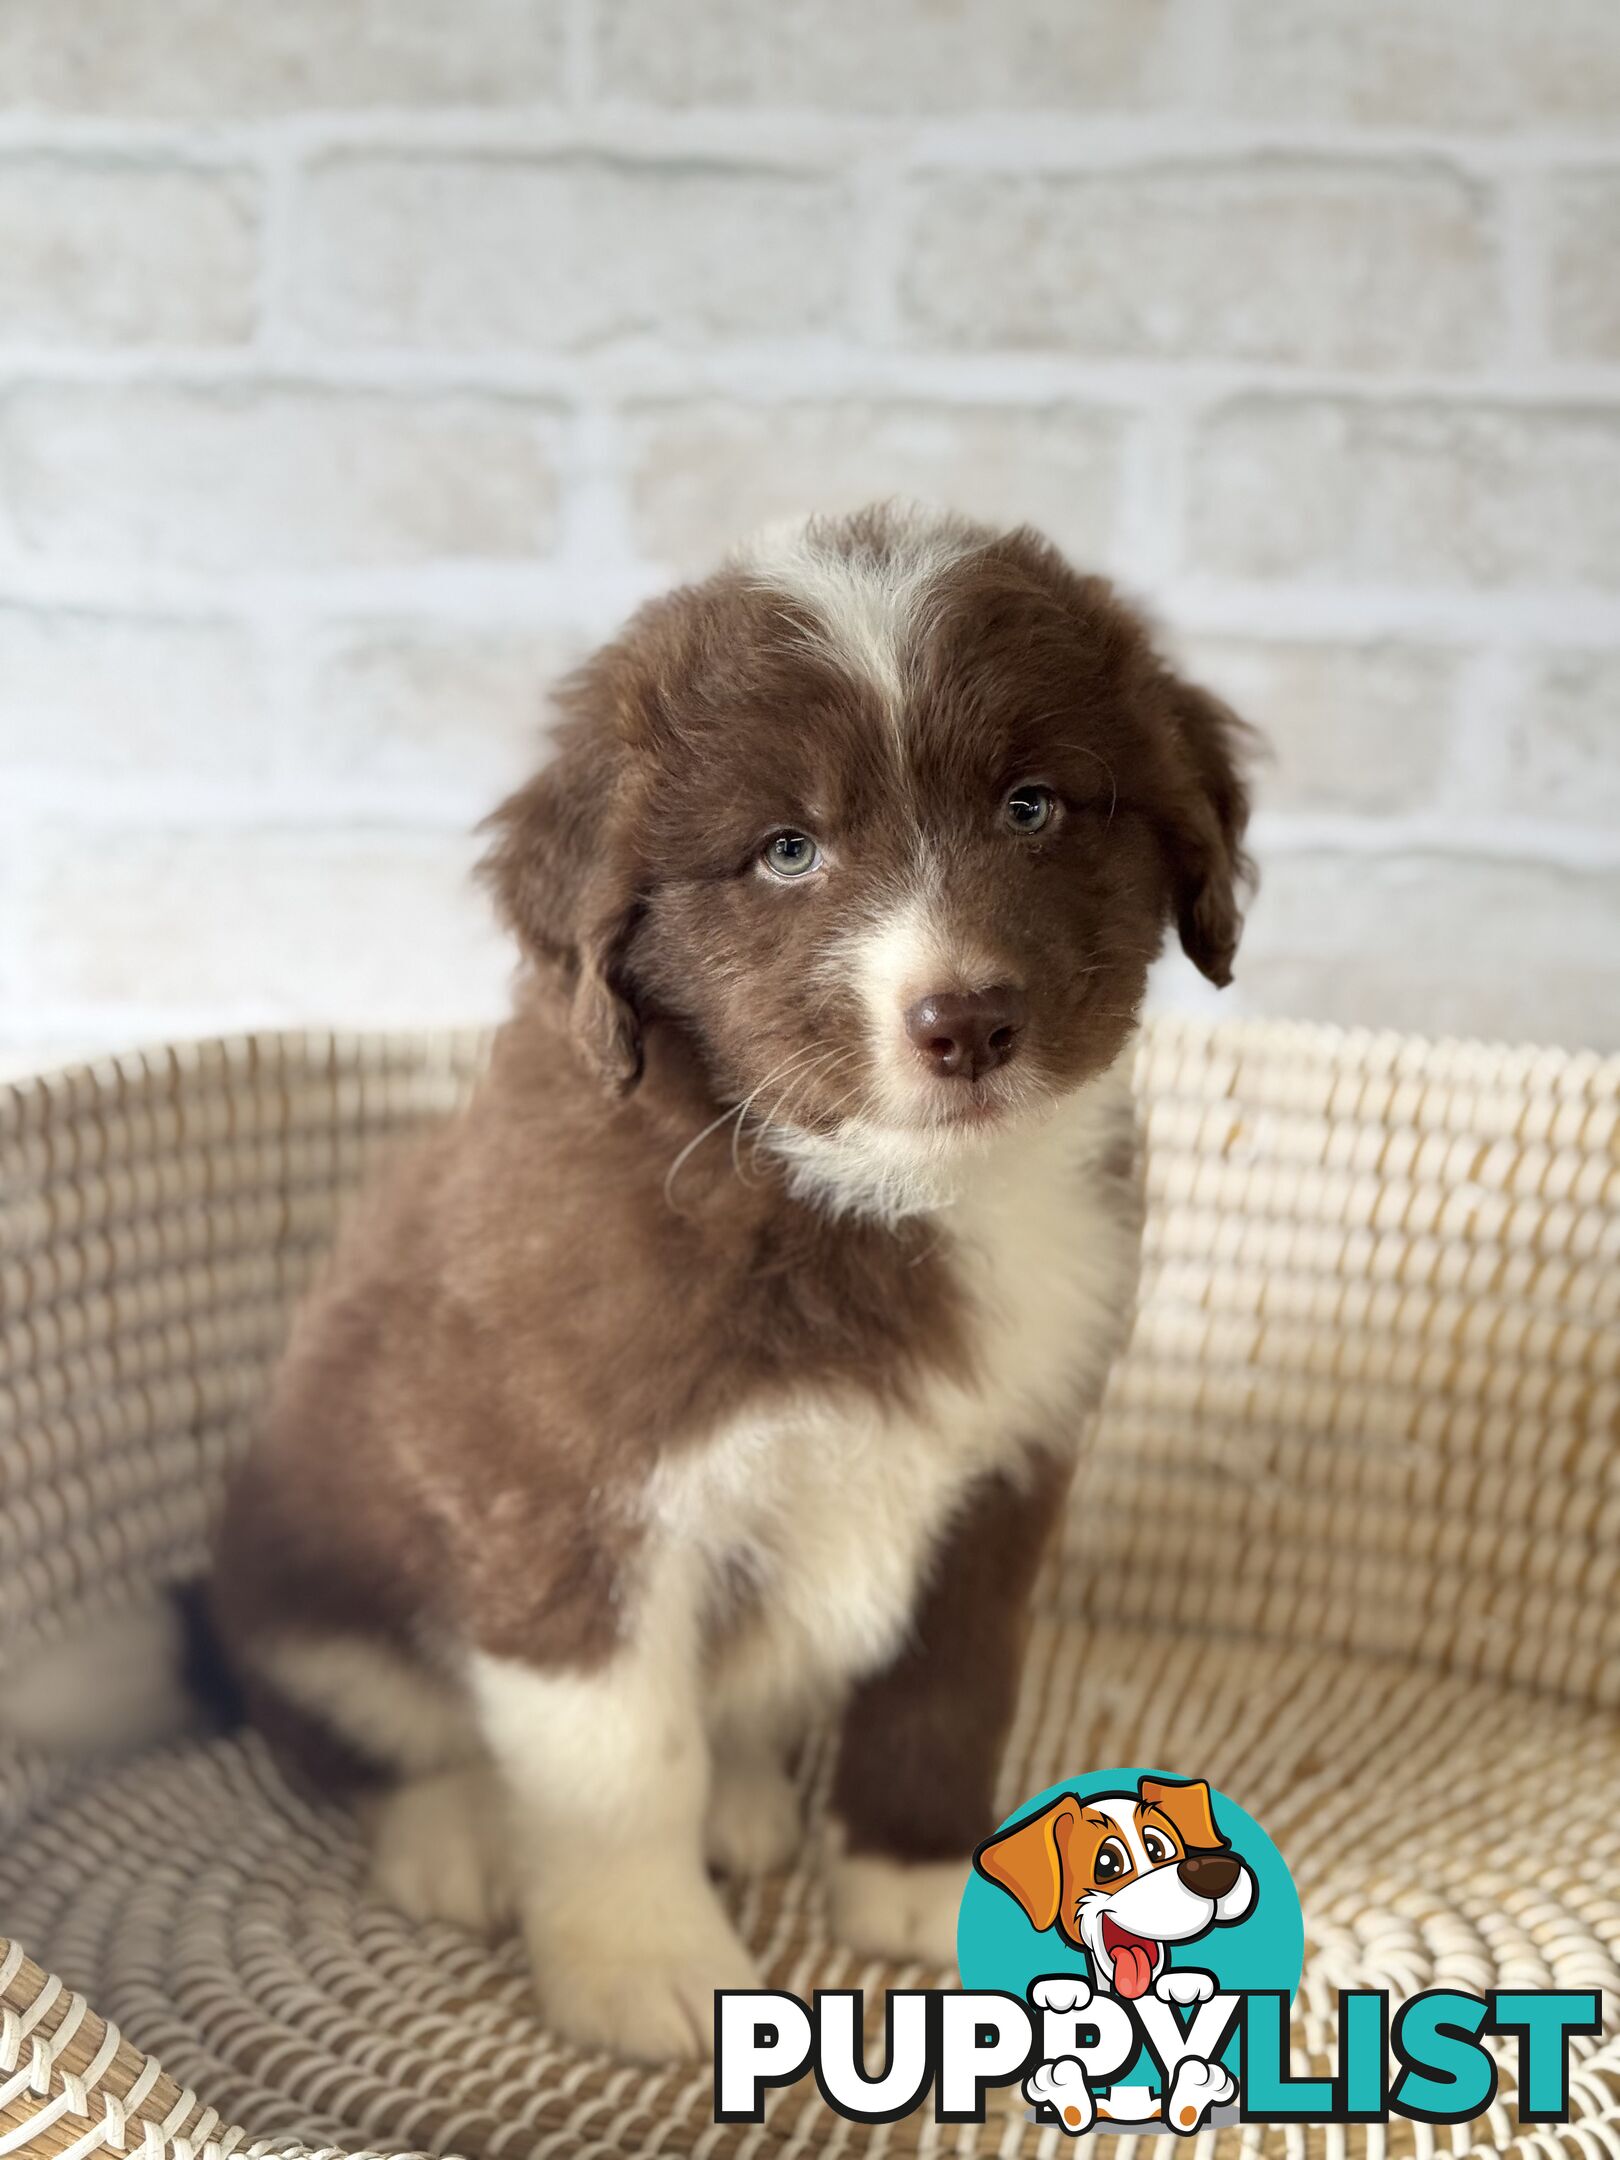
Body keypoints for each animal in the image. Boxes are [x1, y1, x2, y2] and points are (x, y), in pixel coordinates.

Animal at [209, 501, 1261, 2056]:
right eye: (785, 850)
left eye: (1032, 806)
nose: (968, 1022)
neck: (858, 1198)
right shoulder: (560, 1490)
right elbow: (619, 1753)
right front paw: (645, 1967)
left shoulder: (1003, 1473)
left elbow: (951, 1688)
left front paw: (921, 1878)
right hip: (309, 1587)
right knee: (355, 1735)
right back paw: (458, 1835)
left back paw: (750, 1801)